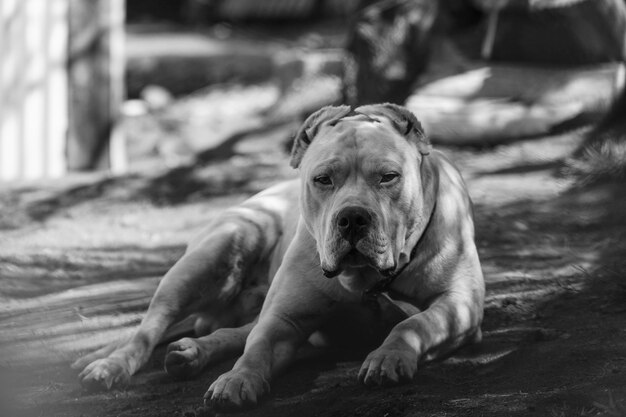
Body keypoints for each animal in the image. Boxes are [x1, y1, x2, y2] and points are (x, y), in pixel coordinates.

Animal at [73, 103, 482, 410]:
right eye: (323, 179)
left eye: (388, 177)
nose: (352, 218)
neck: (366, 280)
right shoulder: (284, 318)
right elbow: (257, 348)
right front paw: (237, 378)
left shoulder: (459, 304)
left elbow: (413, 324)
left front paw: (390, 356)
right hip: (220, 248)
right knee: (149, 330)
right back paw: (112, 365)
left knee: (230, 331)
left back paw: (191, 353)